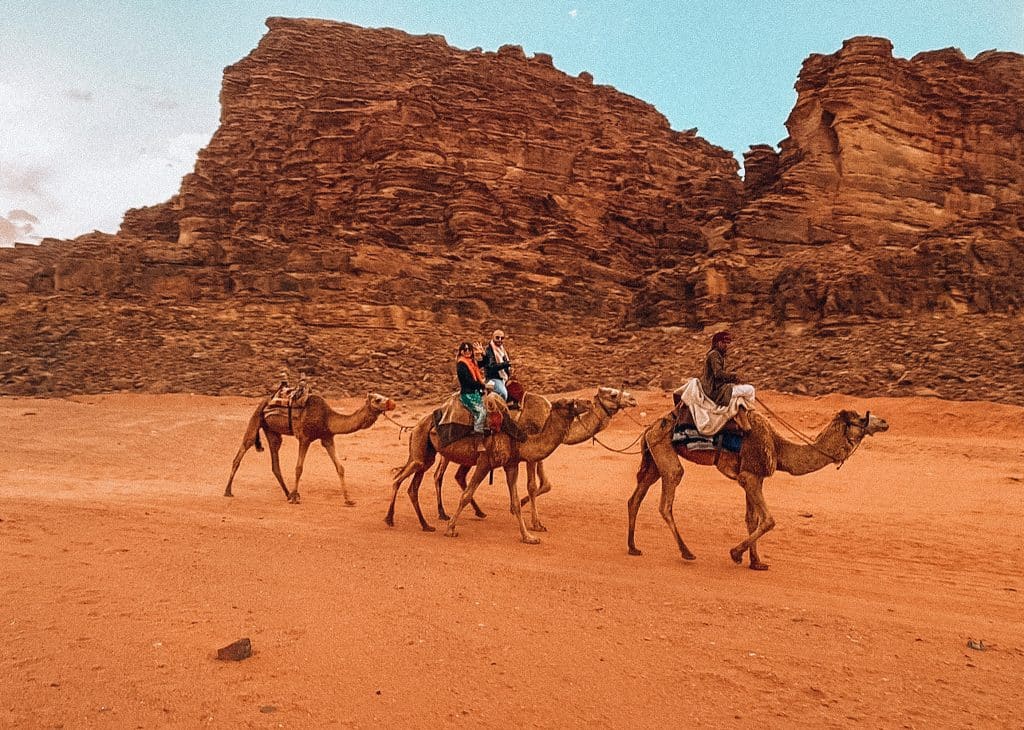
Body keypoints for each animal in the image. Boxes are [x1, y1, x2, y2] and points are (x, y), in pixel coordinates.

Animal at [224, 391, 395, 503]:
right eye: (378, 399)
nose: (392, 403)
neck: (327, 418)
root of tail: (266, 400)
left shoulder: (327, 437)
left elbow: (340, 468)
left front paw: (349, 500)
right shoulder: (305, 438)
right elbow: (299, 468)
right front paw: (295, 499)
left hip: (272, 432)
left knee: (275, 462)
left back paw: (288, 494)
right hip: (256, 418)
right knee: (242, 449)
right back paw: (228, 491)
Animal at [385, 393, 593, 540]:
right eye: (569, 402)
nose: (589, 402)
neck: (519, 438)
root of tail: (416, 425)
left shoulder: (511, 465)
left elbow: (516, 502)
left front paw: (529, 536)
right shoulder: (485, 462)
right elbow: (466, 495)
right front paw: (451, 529)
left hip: (427, 454)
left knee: (414, 487)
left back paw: (426, 525)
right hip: (420, 446)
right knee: (400, 478)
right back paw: (390, 519)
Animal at [432, 387, 638, 518]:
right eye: (613, 394)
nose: (633, 399)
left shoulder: (535, 452)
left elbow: (546, 484)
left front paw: (519, 506)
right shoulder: (528, 449)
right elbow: (532, 485)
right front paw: (532, 520)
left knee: (458, 476)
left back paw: (478, 511)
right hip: (451, 449)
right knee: (439, 475)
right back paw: (442, 514)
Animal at [622, 403, 888, 569]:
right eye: (861, 419)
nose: (885, 422)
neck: (779, 448)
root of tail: (649, 427)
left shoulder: (754, 477)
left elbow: (752, 519)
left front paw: (756, 561)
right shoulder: (749, 476)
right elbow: (768, 520)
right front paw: (736, 553)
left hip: (653, 457)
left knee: (636, 497)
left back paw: (633, 547)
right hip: (664, 450)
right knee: (667, 498)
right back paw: (686, 552)